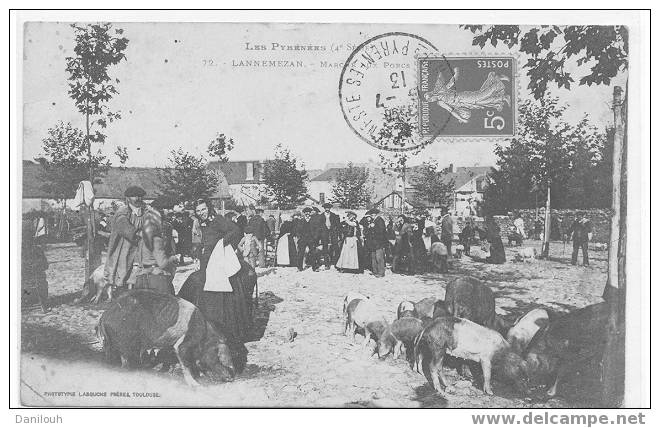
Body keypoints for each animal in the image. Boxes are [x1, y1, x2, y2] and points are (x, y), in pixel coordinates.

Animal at [95, 290, 235, 386]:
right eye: (219, 357)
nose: (232, 378)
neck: (204, 334)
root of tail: (104, 317)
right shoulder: (183, 343)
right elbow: (186, 363)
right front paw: (196, 385)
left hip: (111, 344)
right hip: (126, 342)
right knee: (126, 362)